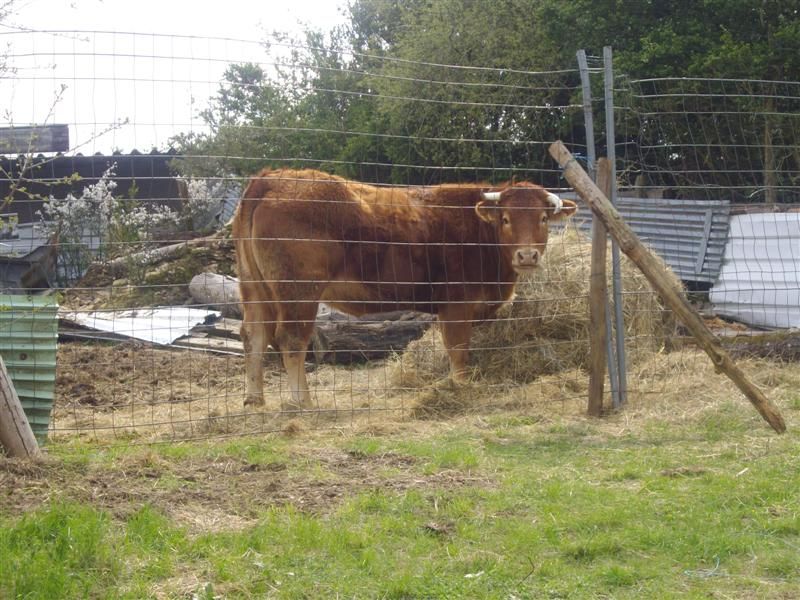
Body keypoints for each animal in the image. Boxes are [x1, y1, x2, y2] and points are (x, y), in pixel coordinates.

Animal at [232, 168, 577, 410]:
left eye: (543, 218)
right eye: (505, 219)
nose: (527, 256)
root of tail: (271, 177)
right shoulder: (457, 306)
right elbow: (458, 350)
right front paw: (460, 388)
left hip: (254, 288)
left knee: (254, 335)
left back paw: (254, 400)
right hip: (298, 291)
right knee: (291, 340)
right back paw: (302, 402)